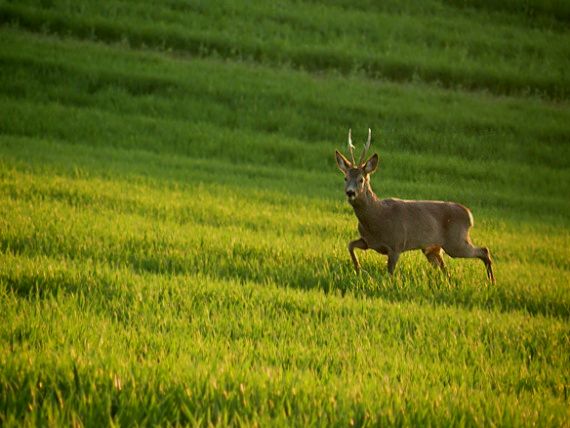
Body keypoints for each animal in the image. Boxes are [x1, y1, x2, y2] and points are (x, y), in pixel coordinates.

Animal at [332, 130, 492, 284]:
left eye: (361, 179)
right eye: (345, 178)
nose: (350, 192)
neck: (378, 217)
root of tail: (470, 215)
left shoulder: (396, 244)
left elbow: (390, 273)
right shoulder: (369, 241)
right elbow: (350, 245)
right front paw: (358, 269)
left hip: (456, 241)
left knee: (484, 250)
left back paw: (491, 281)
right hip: (433, 248)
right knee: (446, 270)